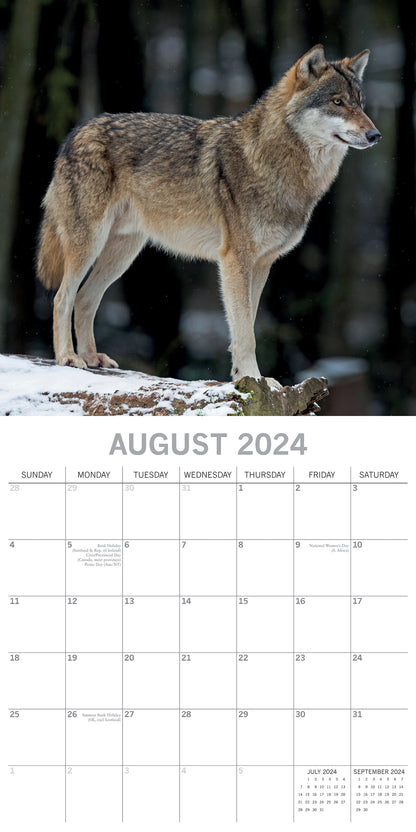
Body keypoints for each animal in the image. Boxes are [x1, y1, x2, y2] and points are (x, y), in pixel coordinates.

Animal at [37, 44, 381, 384]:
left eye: (361, 104)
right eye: (337, 102)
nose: (375, 135)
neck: (277, 164)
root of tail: (76, 132)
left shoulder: (262, 264)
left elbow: (248, 325)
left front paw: (250, 379)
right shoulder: (235, 261)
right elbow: (245, 333)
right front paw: (252, 378)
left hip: (123, 254)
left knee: (85, 298)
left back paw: (92, 357)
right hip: (89, 245)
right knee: (62, 298)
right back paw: (68, 357)